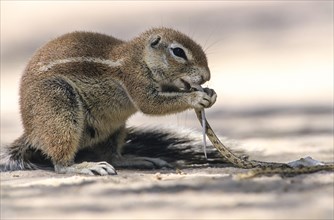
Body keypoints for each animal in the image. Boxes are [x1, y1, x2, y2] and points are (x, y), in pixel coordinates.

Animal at [0, 27, 217, 175]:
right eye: (178, 52)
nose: (206, 76)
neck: (140, 56)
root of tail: (31, 134)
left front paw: (210, 93)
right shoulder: (134, 77)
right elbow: (150, 104)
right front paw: (196, 97)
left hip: (114, 128)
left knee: (111, 156)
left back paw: (138, 159)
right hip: (58, 103)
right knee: (61, 164)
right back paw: (85, 167)